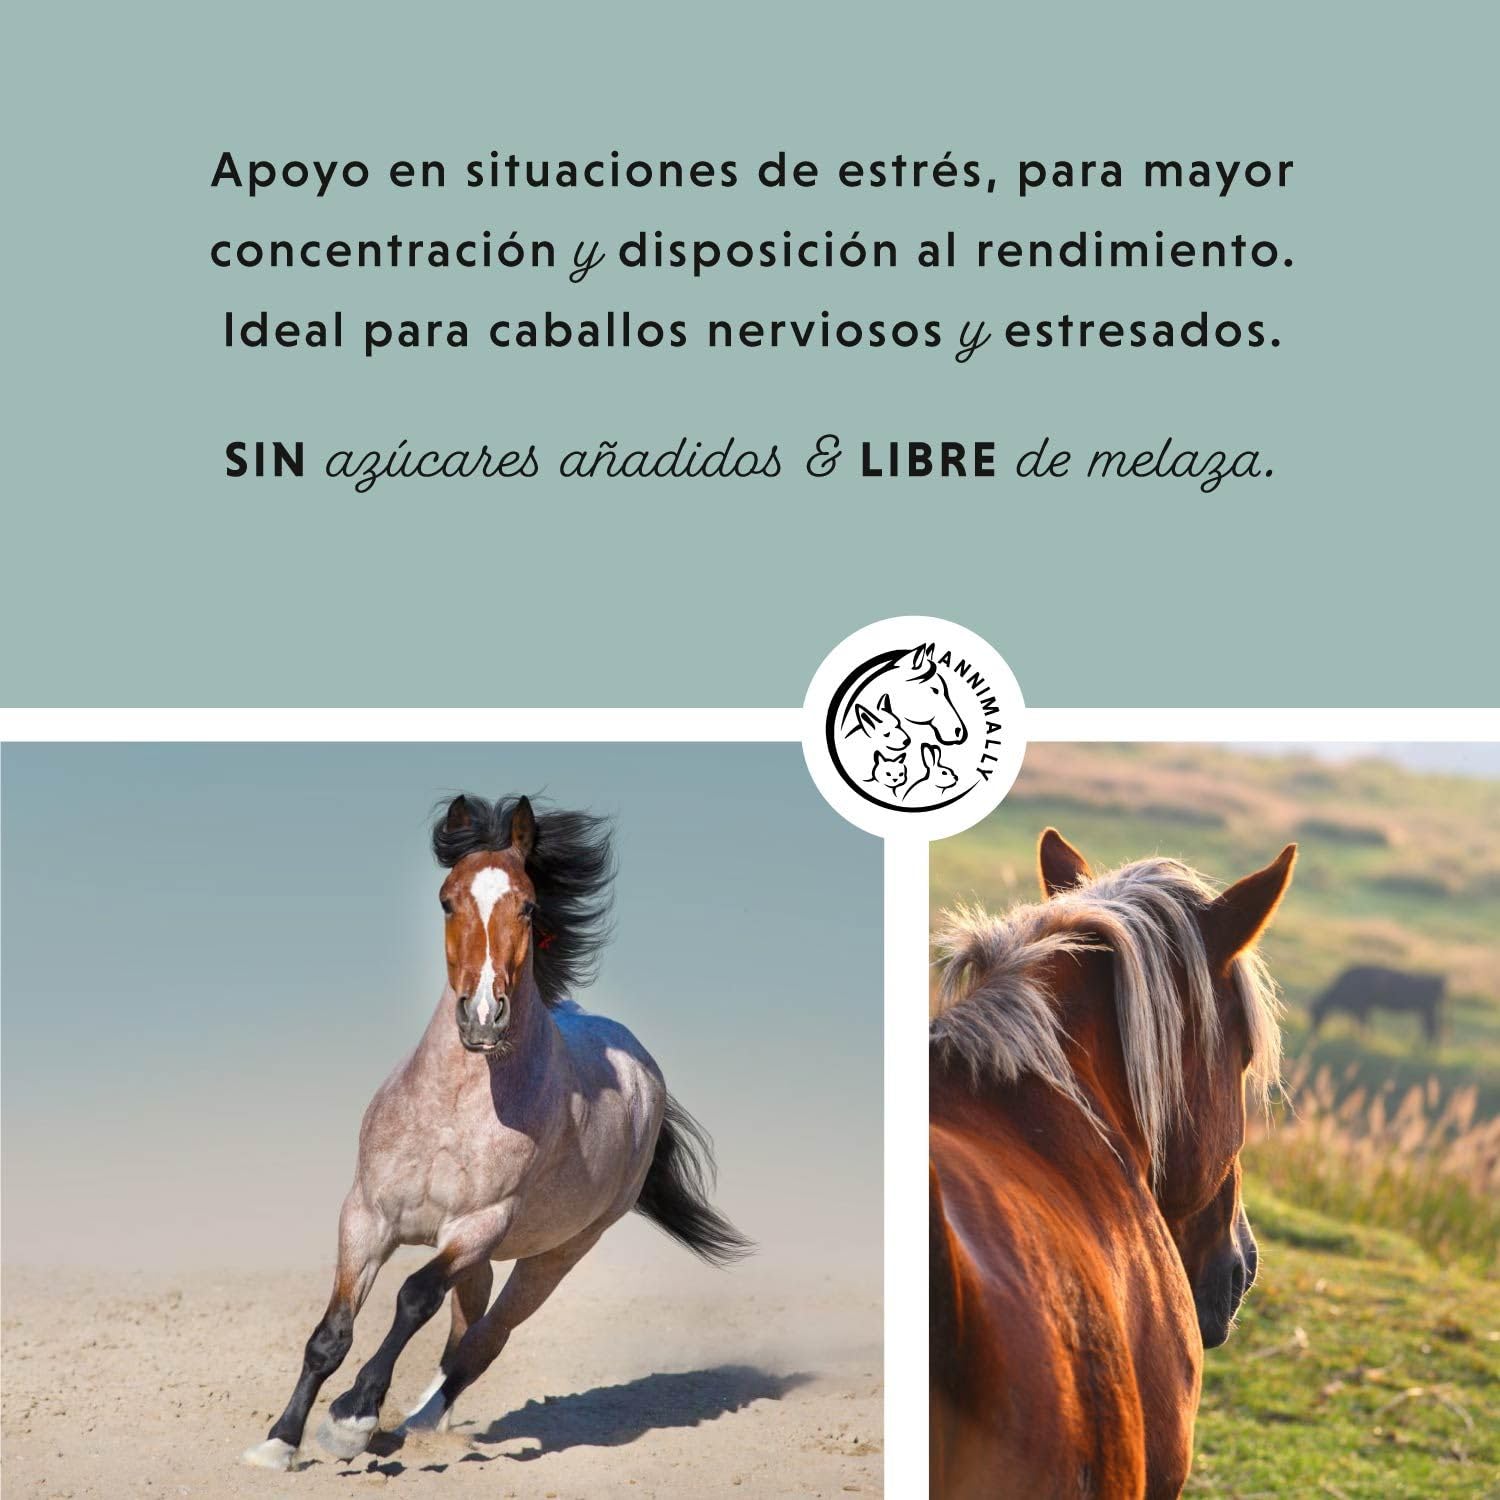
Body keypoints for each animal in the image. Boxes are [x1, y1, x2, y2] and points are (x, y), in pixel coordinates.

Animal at [243, 794, 751, 1471]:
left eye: (528, 905)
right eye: (446, 900)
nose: (483, 1016)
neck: (453, 1110)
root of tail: (643, 1070)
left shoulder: (477, 1225)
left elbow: (413, 1298)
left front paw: (351, 1418)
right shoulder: (367, 1216)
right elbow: (332, 1333)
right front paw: (279, 1442)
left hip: (555, 1254)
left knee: (485, 1340)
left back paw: (414, 1423)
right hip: (482, 1261)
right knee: (464, 1332)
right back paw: (411, 1424)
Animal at [1309, 965, 1445, 1044]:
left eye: (1316, 1013)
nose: (1313, 1031)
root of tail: (1437, 979)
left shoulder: (1360, 1007)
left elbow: (1362, 1023)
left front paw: (1360, 1038)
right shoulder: (1363, 1008)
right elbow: (1363, 1023)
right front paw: (1360, 1037)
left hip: (1428, 1011)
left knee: (1433, 1029)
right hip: (1425, 1012)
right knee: (1431, 1029)